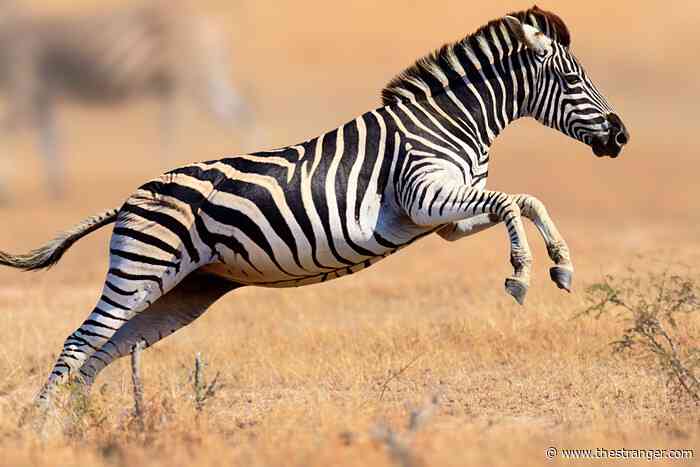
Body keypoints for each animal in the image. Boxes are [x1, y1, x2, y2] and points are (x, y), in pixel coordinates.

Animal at [0, 1, 251, 196]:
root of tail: (209, 28)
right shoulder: (42, 96)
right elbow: (50, 140)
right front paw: (57, 187)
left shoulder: (26, 89)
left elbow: (12, 133)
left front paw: (8, 191)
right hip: (204, 80)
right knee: (241, 114)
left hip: (191, 82)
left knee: (180, 130)